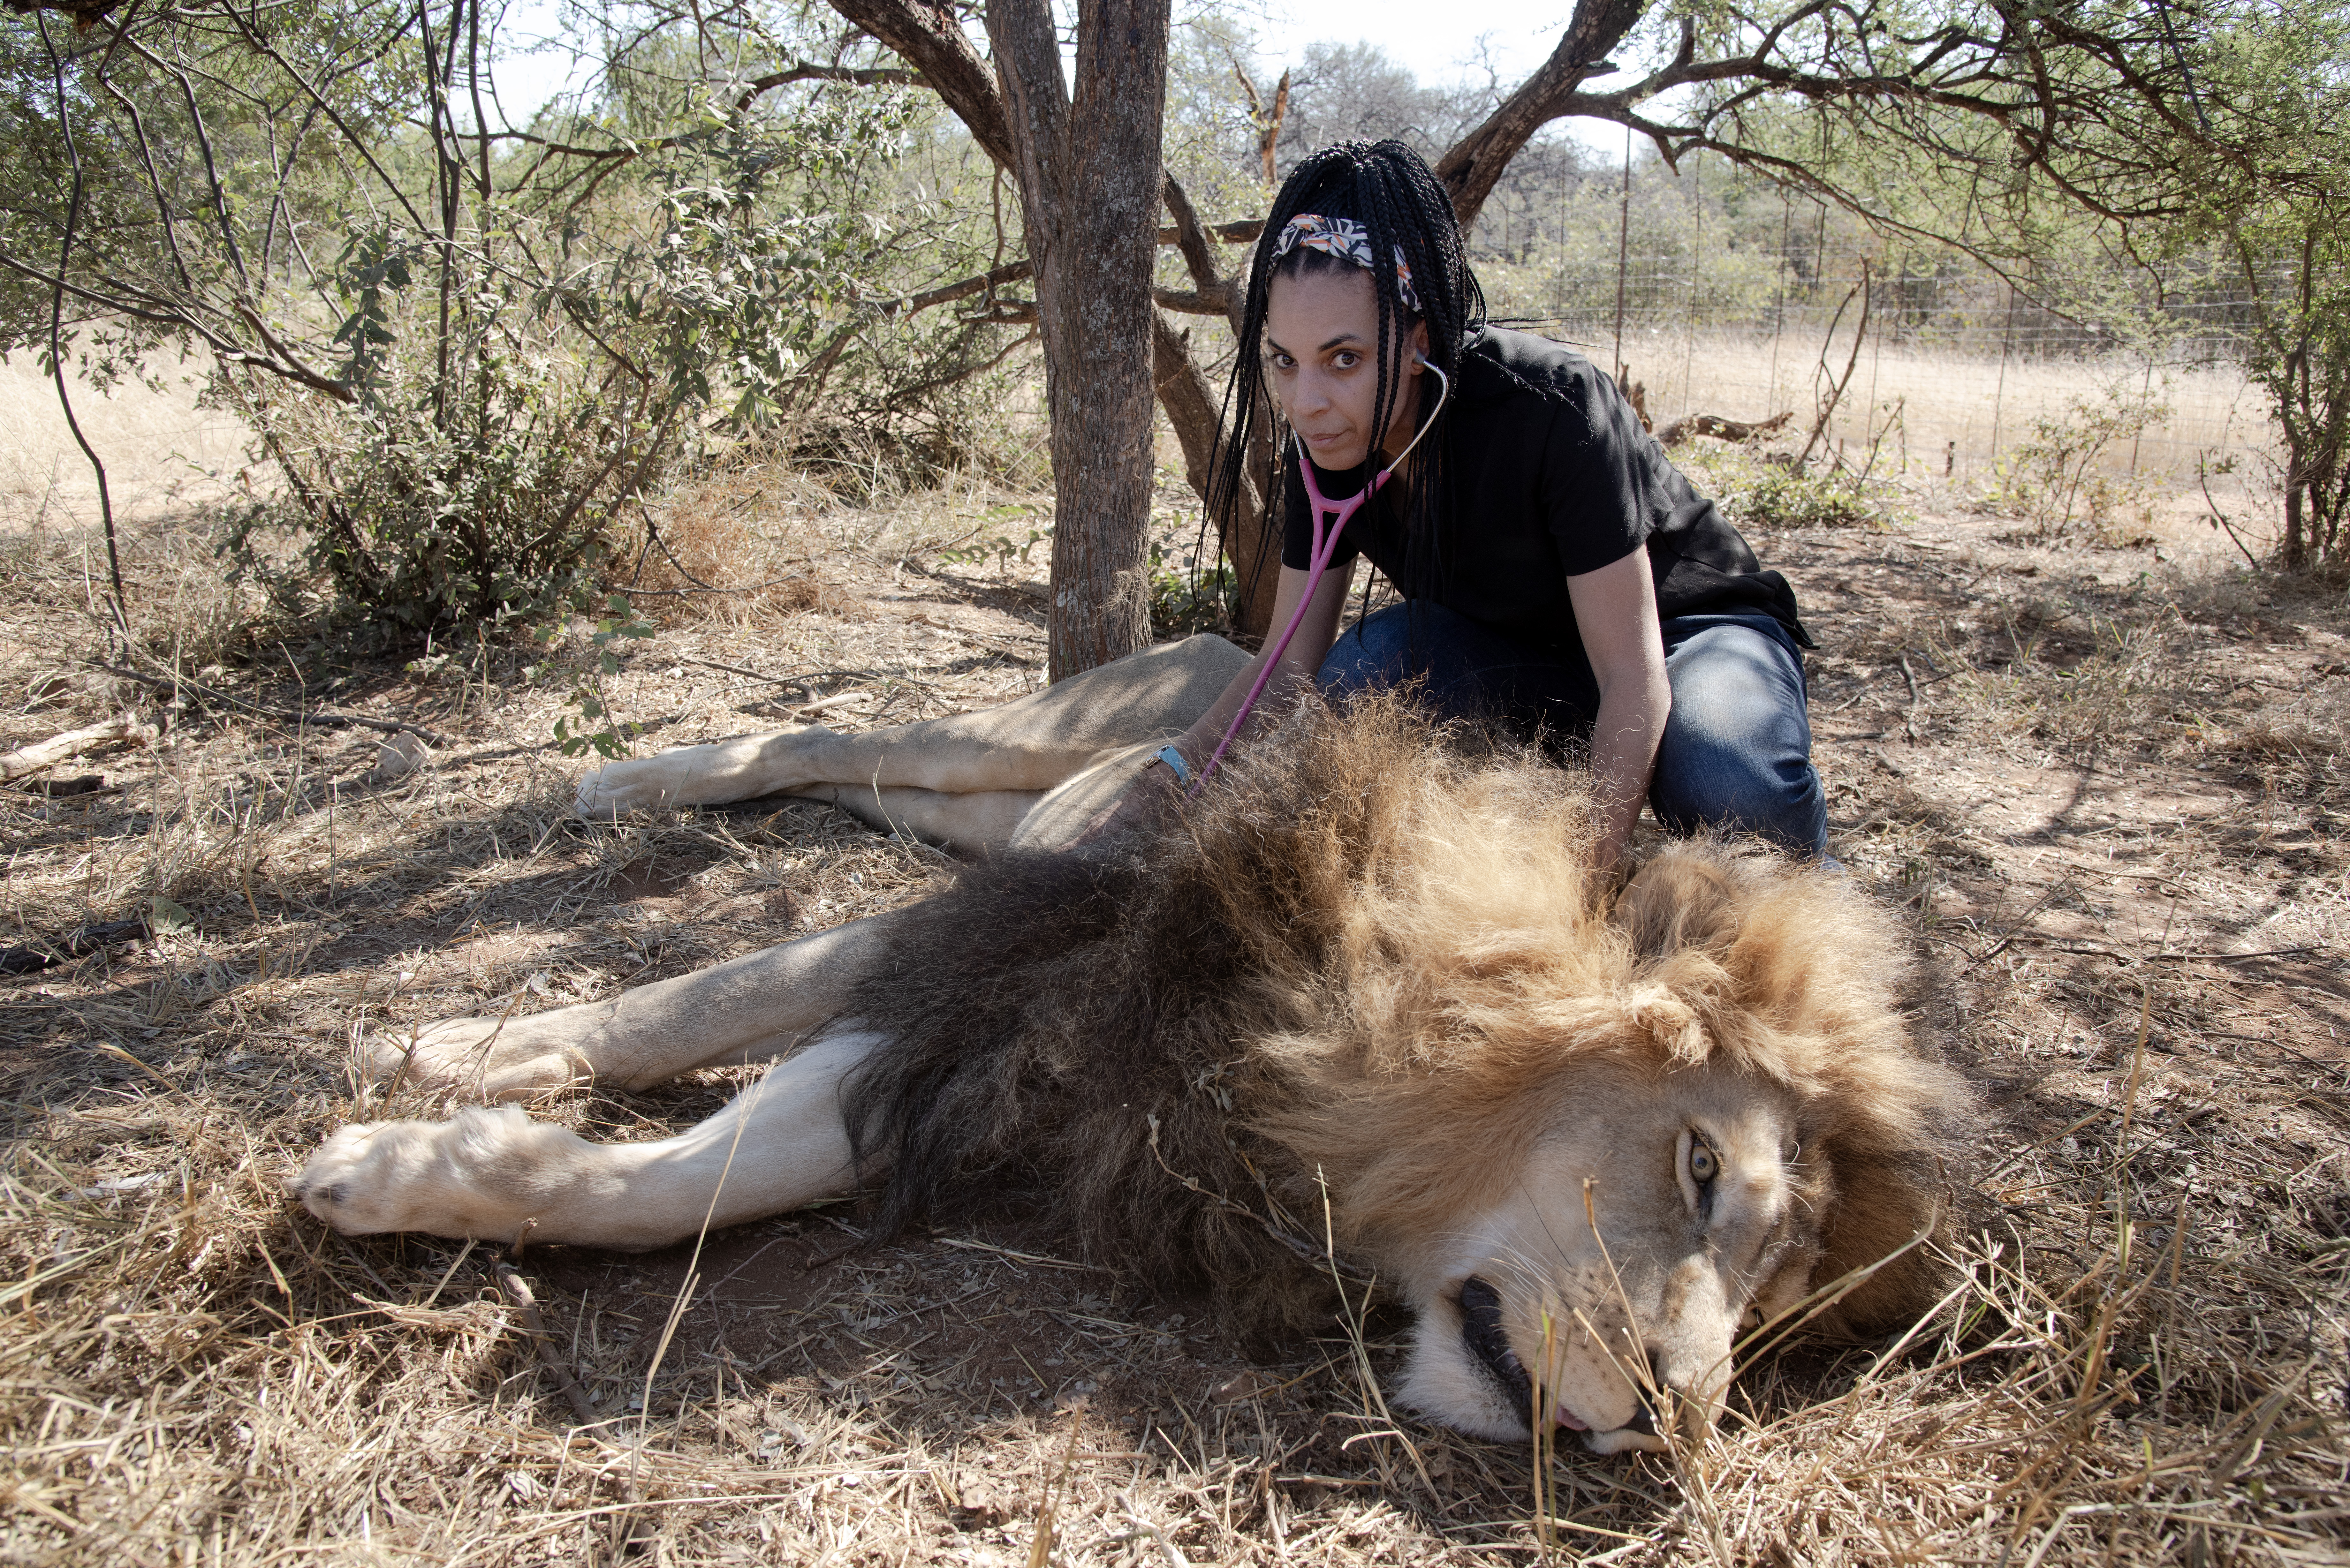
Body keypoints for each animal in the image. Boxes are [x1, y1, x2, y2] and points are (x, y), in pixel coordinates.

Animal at [293, 682, 1966, 1451]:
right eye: (1697, 1166)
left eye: (1771, 1295)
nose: (1675, 1422)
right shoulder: (1024, 953)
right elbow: (685, 1019)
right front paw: (428, 1063)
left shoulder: (1025, 1060)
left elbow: (712, 1175)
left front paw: (425, 1154)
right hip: (1021, 757)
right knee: (834, 731)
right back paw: (629, 780)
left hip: (984, 818)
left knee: (872, 783)